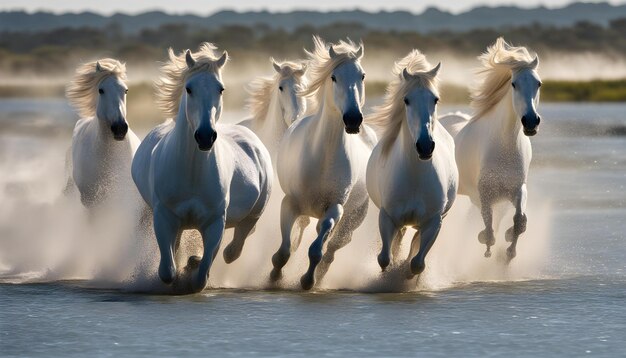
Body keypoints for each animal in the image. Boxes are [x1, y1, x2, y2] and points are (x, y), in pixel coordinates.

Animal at [132, 43, 272, 292]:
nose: (205, 136)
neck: (193, 173)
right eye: (189, 89)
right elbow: (167, 271)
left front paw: (193, 266)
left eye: (221, 89)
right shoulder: (164, 217)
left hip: (255, 213)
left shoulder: (215, 223)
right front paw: (181, 272)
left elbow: (201, 277)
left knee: (237, 244)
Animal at [270, 36, 376, 290]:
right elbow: (284, 251)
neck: (323, 157)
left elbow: (317, 250)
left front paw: (307, 280)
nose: (353, 119)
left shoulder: (335, 208)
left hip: (352, 219)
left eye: (362, 76)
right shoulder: (290, 203)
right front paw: (274, 277)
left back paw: (318, 277)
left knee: (331, 249)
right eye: (334, 77)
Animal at [366, 50, 458, 276]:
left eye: (435, 99)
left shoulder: (434, 222)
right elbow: (384, 258)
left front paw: (406, 276)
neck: (415, 177)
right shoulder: (387, 217)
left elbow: (416, 263)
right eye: (406, 100)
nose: (425, 146)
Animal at [436, 37, 540, 258]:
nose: (530, 122)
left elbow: (518, 220)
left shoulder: (517, 189)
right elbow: (489, 226)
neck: (504, 147)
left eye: (538, 83)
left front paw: (509, 251)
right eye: (514, 84)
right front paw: (487, 244)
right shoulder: (484, 193)